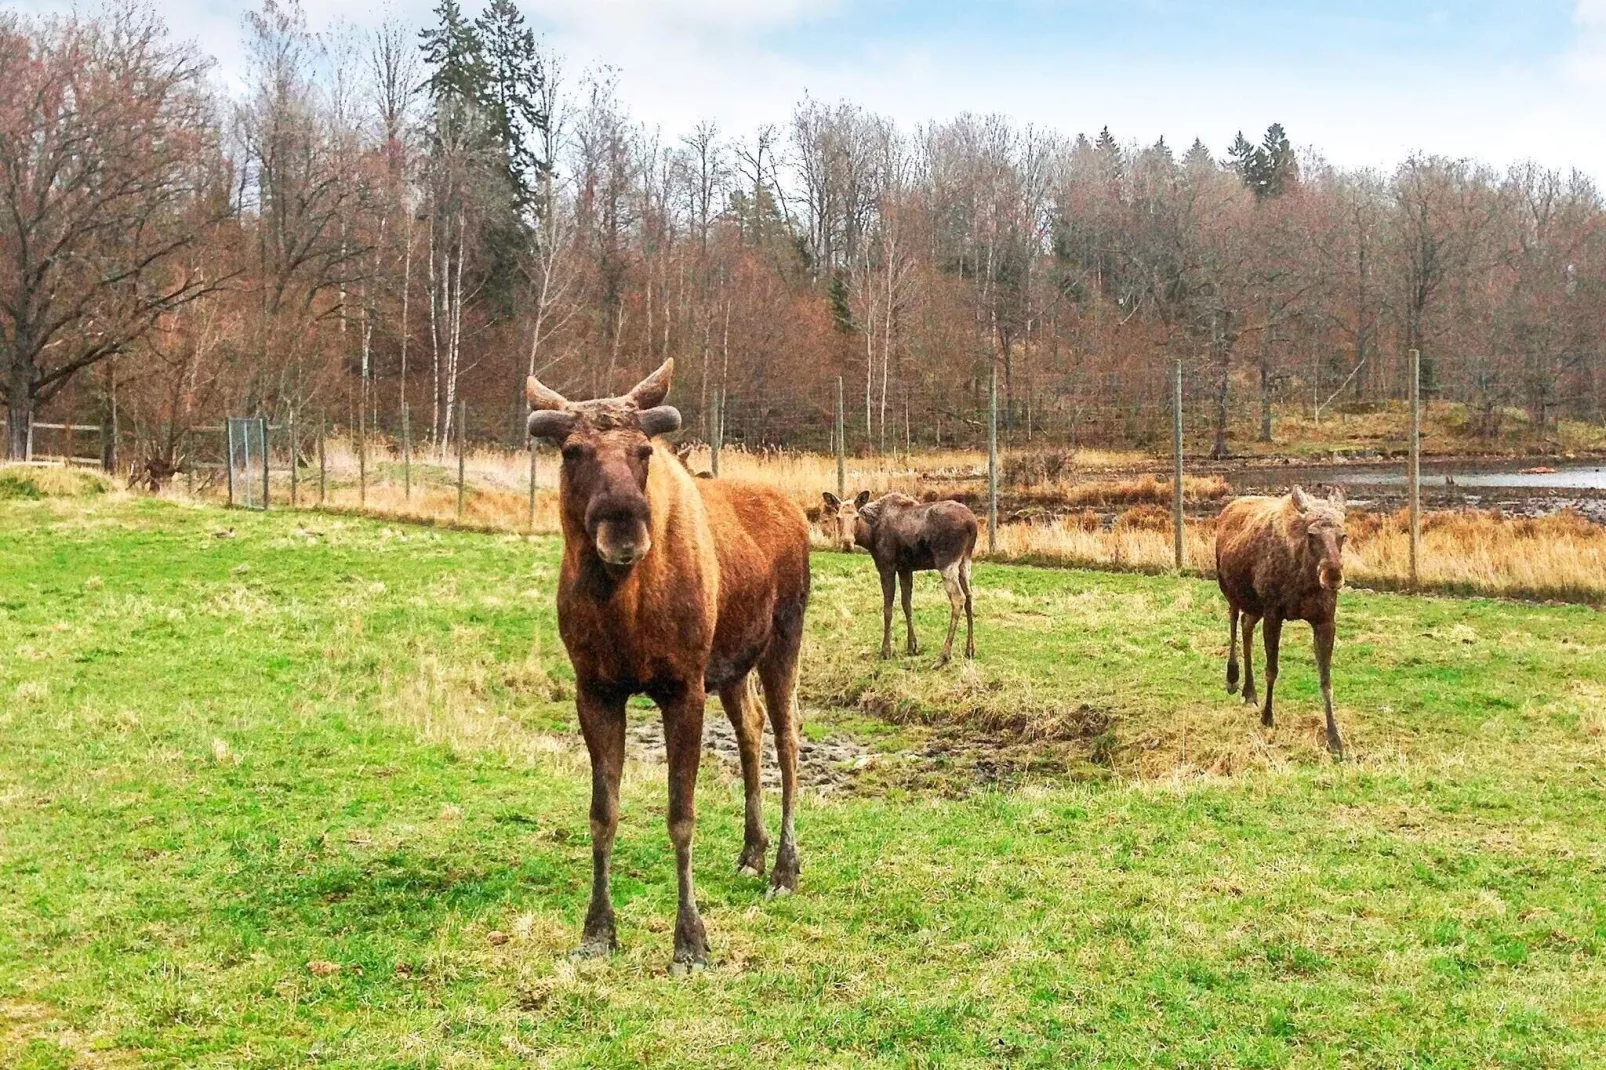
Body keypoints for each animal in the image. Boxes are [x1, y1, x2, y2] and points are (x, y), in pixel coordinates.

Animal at [526, 358, 809, 963]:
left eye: (644, 450)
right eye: (571, 451)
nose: (625, 530)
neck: (623, 605)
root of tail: (798, 513)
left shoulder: (682, 687)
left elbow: (681, 817)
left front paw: (691, 939)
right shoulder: (595, 689)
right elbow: (602, 814)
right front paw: (597, 930)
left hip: (783, 641)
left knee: (788, 738)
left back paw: (785, 868)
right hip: (732, 665)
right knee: (751, 730)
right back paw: (752, 851)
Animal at [822, 494, 970, 668]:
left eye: (856, 517)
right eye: (838, 518)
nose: (846, 543)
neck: (870, 536)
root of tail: (973, 523)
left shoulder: (886, 566)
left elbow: (887, 609)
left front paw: (886, 650)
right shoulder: (905, 569)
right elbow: (907, 605)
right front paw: (912, 646)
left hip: (947, 562)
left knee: (958, 599)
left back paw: (943, 656)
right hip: (965, 562)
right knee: (969, 597)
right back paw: (970, 649)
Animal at [1220, 481, 1349, 748]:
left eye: (1343, 535)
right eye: (1312, 535)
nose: (1333, 576)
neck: (1304, 581)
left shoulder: (1325, 620)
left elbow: (1326, 680)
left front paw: (1334, 738)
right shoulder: (1274, 612)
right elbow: (1272, 670)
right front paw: (1268, 717)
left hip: (1255, 605)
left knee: (1246, 625)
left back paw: (1250, 691)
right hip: (1232, 591)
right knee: (1233, 621)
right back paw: (1233, 678)